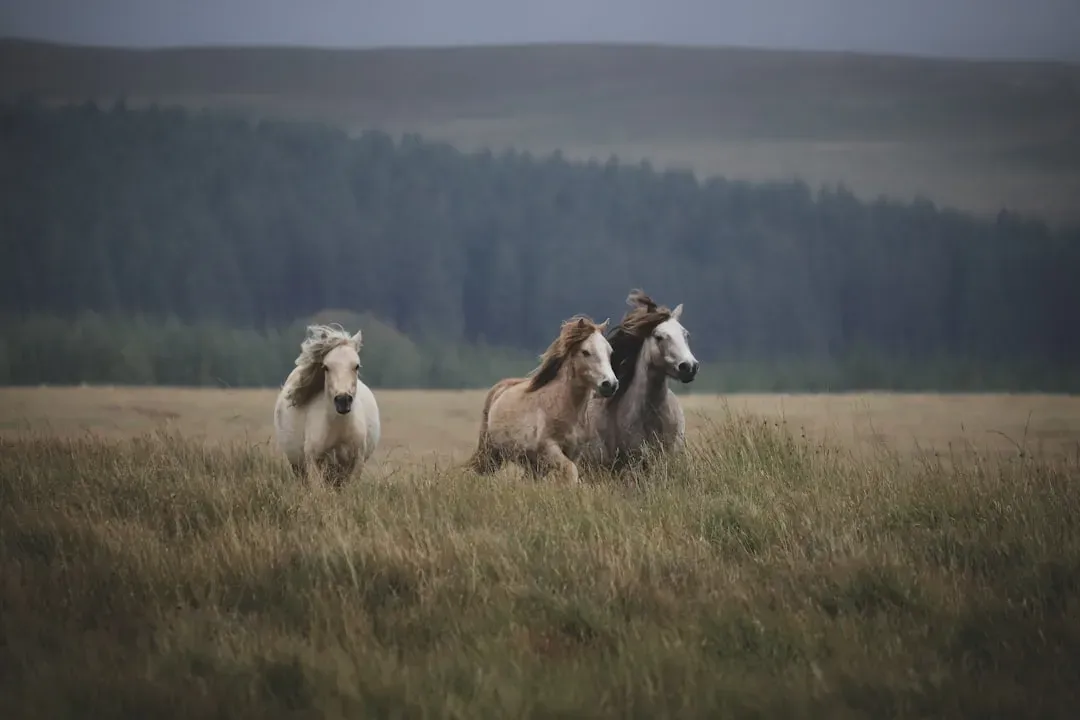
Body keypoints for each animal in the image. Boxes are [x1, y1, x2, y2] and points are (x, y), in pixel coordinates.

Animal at [273, 324, 381, 486]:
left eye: (356, 366)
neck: (339, 428)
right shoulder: (313, 463)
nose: (343, 401)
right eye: (325, 367)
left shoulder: (356, 463)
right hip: (298, 466)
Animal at [466, 315, 618, 485]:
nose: (610, 384)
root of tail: (499, 388)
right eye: (585, 352)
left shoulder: (574, 451)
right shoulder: (549, 448)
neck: (564, 406)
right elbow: (570, 470)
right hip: (491, 452)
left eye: (610, 352)